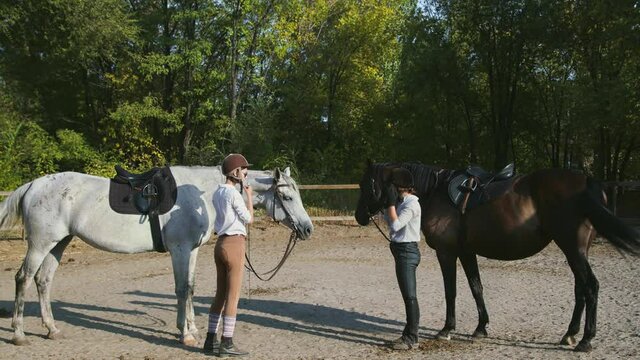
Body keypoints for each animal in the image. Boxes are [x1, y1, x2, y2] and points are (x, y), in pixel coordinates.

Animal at [0, 166, 312, 346]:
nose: (307, 229)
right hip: (41, 244)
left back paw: (52, 329)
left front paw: (191, 328)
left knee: (43, 281)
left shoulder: (191, 250)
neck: (200, 195)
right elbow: (182, 289)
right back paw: (18, 334)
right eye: (287, 197)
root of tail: (33, 185)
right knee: (24, 278)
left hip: (59, 243)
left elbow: (190, 288)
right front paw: (186, 334)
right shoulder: (180, 249)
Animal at [356, 162, 640, 352]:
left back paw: (585, 340)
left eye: (366, 184)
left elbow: (451, 291)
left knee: (591, 286)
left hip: (573, 249)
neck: (435, 191)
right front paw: (481, 328)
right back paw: (570, 334)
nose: (359, 216)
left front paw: (447, 329)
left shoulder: (447, 253)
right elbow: (476, 288)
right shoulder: (466, 252)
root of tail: (586, 182)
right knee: (581, 289)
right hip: (575, 251)